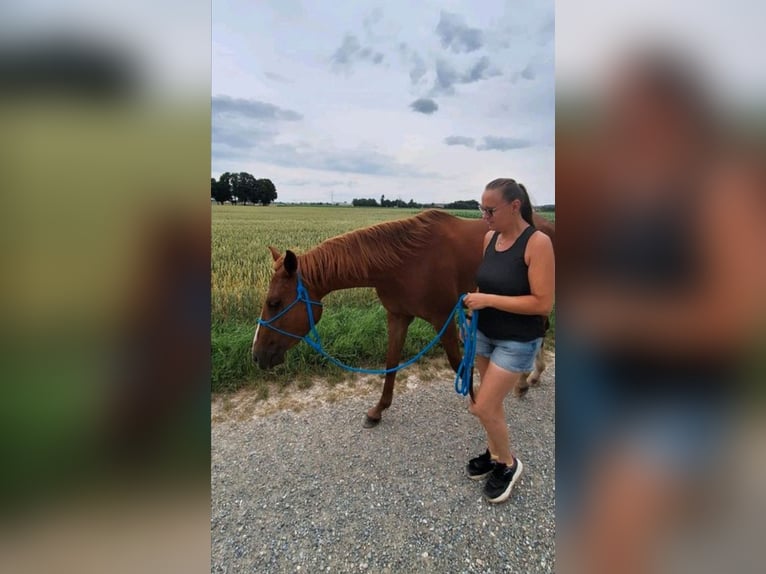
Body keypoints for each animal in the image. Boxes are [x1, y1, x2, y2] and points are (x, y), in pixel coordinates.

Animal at [252, 209, 554, 427]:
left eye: (274, 303)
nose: (256, 355)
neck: (405, 261)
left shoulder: (444, 319)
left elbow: (457, 364)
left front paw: (478, 406)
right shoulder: (398, 316)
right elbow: (391, 363)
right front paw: (377, 411)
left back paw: (526, 379)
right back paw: (529, 379)